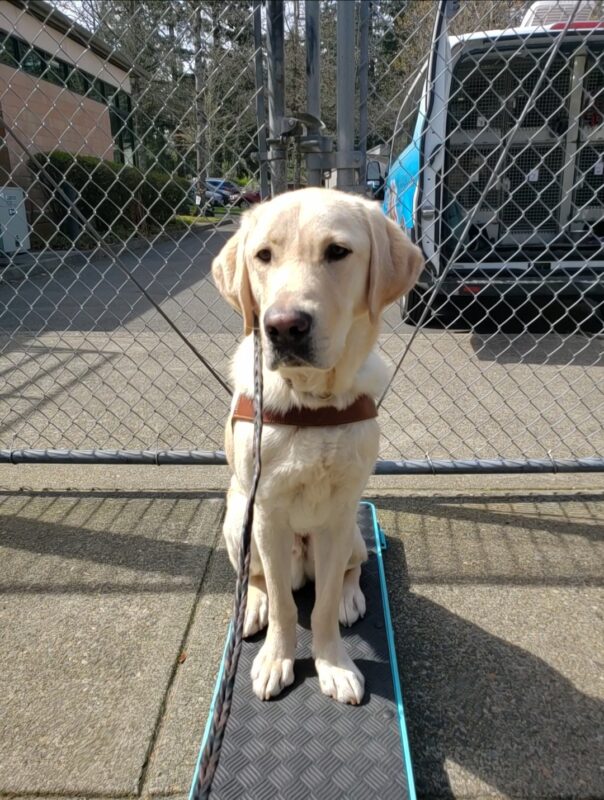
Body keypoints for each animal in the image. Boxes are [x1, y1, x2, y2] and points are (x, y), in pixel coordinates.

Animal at [215, 188, 422, 708]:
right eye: (263, 256)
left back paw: (351, 597)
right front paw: (277, 659)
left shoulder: (336, 513)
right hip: (237, 521)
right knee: (260, 580)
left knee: (353, 568)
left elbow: (322, 606)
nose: (284, 326)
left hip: (351, 531)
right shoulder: (266, 513)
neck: (311, 402)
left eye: (337, 252)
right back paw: (254, 606)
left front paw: (334, 665)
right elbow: (286, 607)